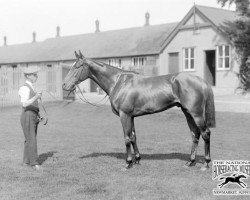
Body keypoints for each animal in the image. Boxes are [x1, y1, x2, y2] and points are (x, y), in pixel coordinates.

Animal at [62, 51, 215, 170]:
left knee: (205, 133)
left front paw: (128, 163)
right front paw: (137, 160)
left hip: (196, 114)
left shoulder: (124, 115)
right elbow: (133, 137)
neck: (118, 82)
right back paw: (191, 162)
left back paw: (206, 163)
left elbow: (126, 138)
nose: (64, 85)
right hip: (187, 113)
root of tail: (201, 81)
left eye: (77, 66)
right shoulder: (131, 116)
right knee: (195, 134)